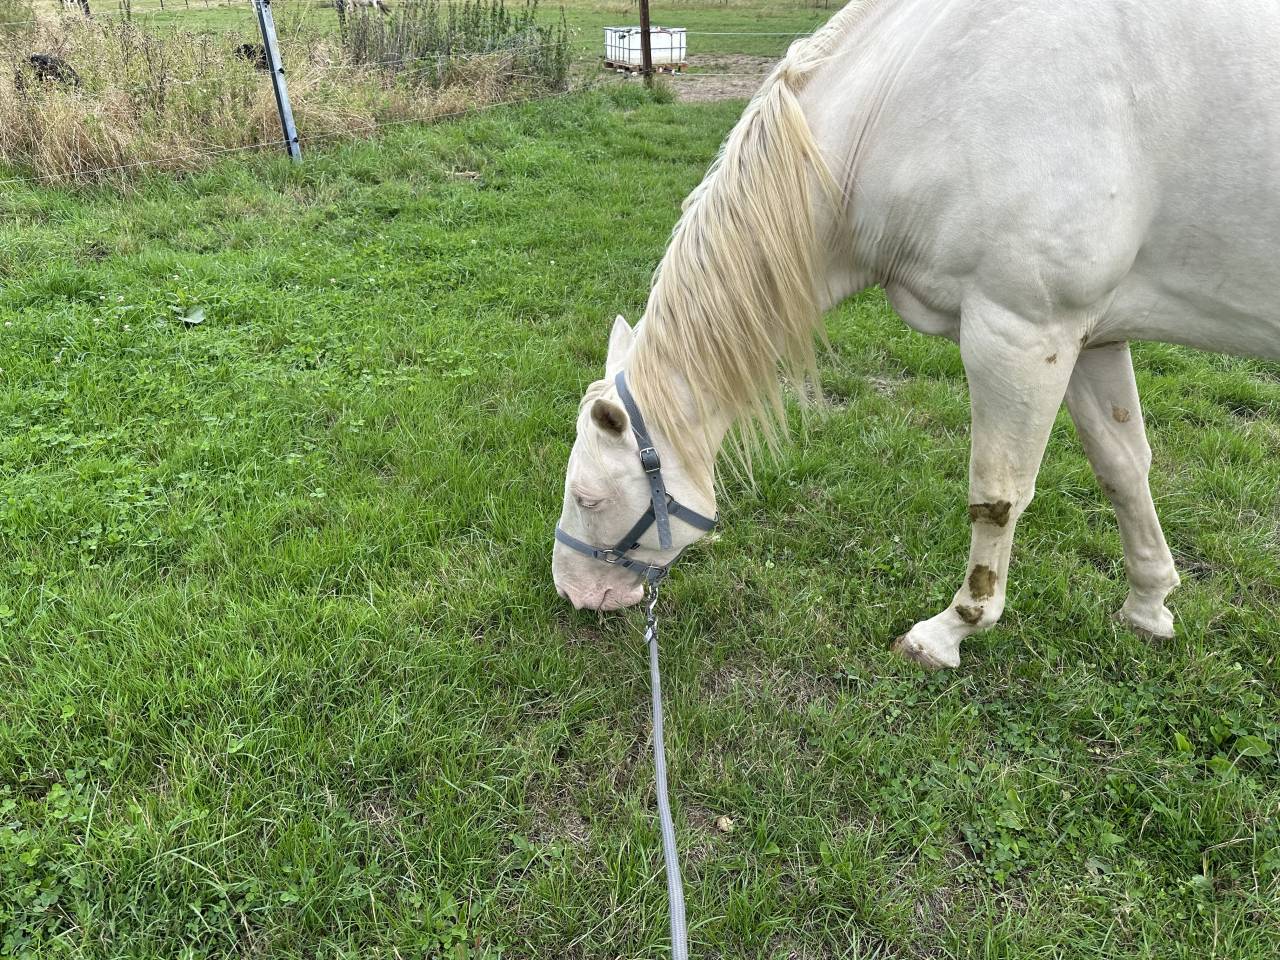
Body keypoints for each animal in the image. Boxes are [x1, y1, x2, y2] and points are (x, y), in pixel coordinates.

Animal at [552, 0, 1280, 668]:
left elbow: (997, 497)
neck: (917, 96)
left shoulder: (1020, 333)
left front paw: (953, 629)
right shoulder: (1090, 338)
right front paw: (1148, 606)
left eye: (588, 496)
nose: (574, 594)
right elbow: (1124, 468)